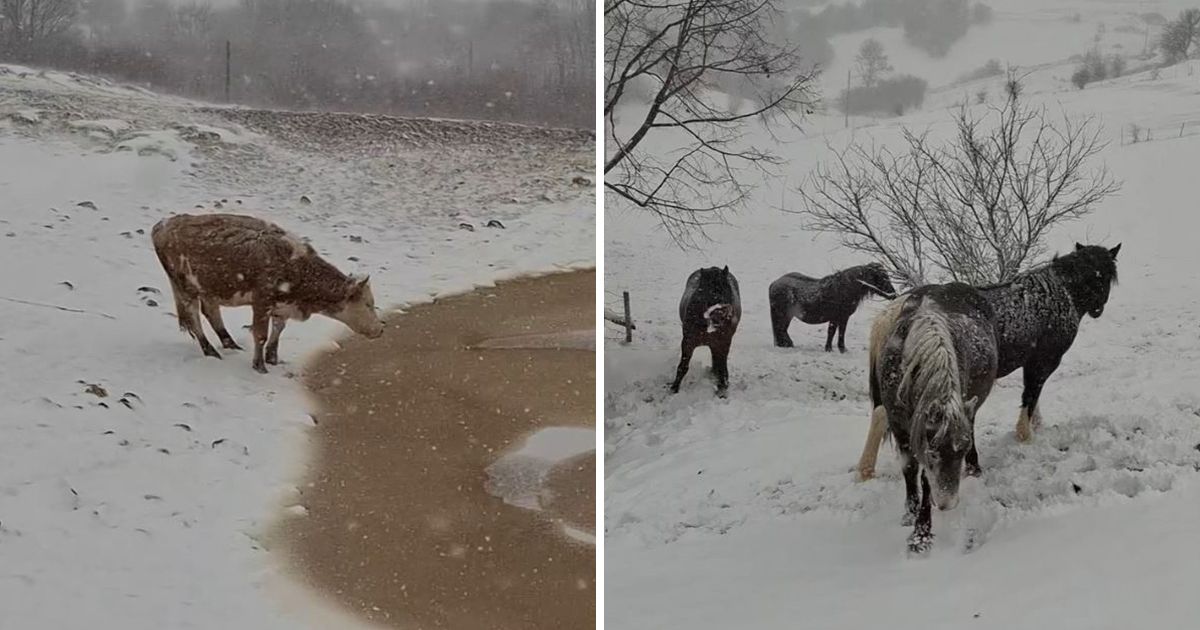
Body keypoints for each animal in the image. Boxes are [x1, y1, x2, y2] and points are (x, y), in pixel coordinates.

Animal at [150, 213, 381, 372]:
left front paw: (273, 358)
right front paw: (260, 366)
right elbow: (260, 334)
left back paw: (230, 344)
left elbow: (278, 329)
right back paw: (211, 351)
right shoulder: (262, 302)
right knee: (194, 318)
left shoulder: (281, 306)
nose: (380, 329)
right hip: (185, 288)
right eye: (368, 304)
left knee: (211, 312)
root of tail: (163, 224)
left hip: (207, 289)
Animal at [672, 266, 734, 396]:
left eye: (726, 290)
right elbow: (683, 366)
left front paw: (722, 390)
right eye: (707, 292)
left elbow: (722, 366)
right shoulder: (688, 342)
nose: (720, 316)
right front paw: (673, 389)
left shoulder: (723, 343)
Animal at [878, 282, 998, 552]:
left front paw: (921, 535)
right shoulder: (899, 426)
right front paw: (909, 513)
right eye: (932, 453)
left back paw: (974, 469)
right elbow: (909, 469)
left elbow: (925, 480)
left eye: (960, 453)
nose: (947, 504)